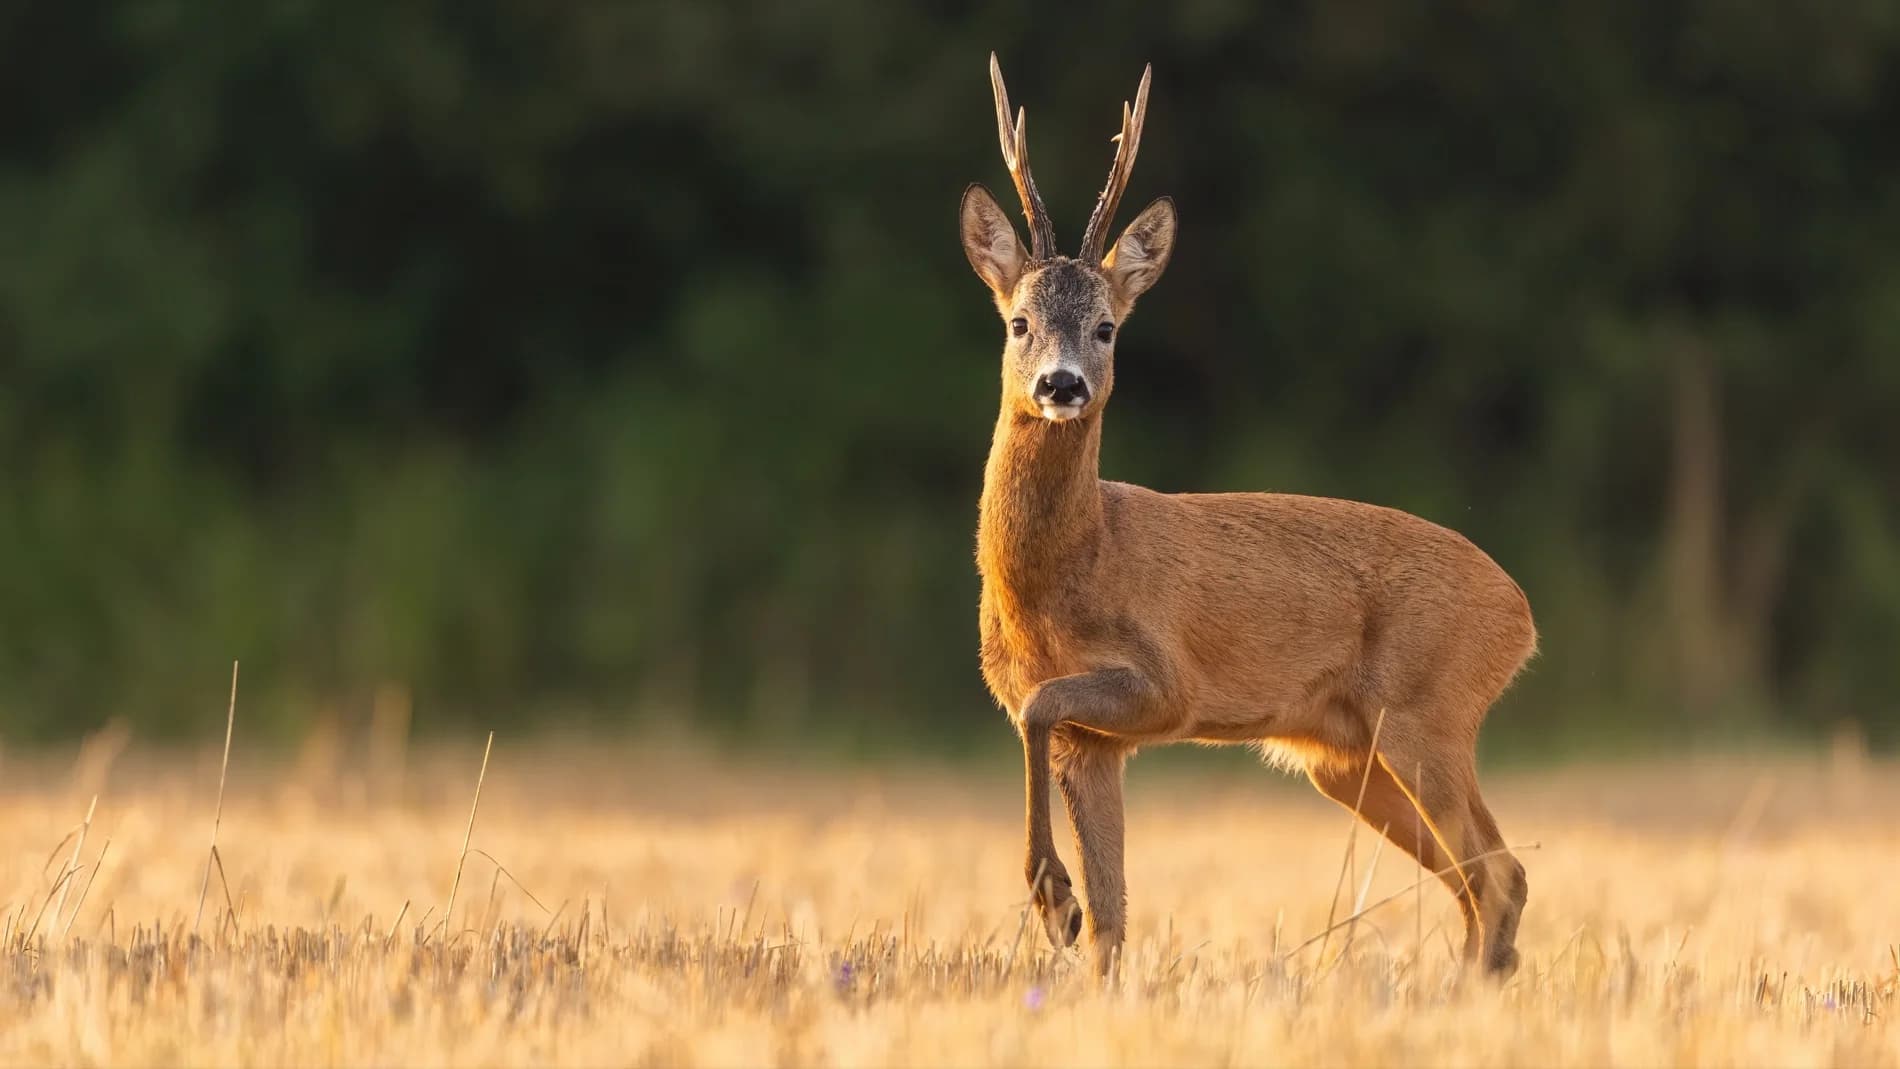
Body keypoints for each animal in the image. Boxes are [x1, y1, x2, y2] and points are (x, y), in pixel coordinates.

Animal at [960, 54, 1538, 980]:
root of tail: (1522, 615)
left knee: (1500, 872)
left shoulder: (1164, 684)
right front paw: (1075, 925)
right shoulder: (1096, 741)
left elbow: (1040, 707)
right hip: (1347, 756)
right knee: (1479, 881)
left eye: (1107, 327)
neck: (1064, 572)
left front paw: (1052, 896)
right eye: (1019, 322)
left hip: (1428, 710)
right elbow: (1116, 912)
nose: (1061, 383)